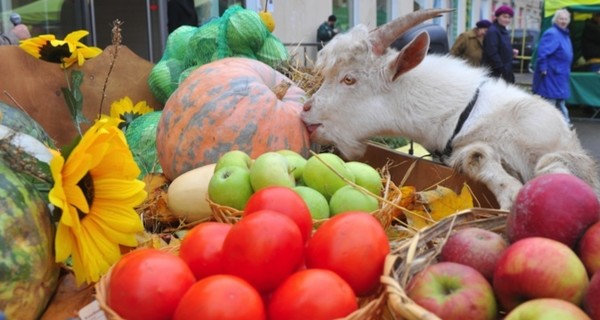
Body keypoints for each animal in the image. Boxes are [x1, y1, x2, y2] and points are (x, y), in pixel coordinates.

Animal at [304, 8, 600, 209]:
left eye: (349, 79)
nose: (306, 110)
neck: (463, 114)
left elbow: (557, 166)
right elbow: (476, 155)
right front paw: (511, 193)